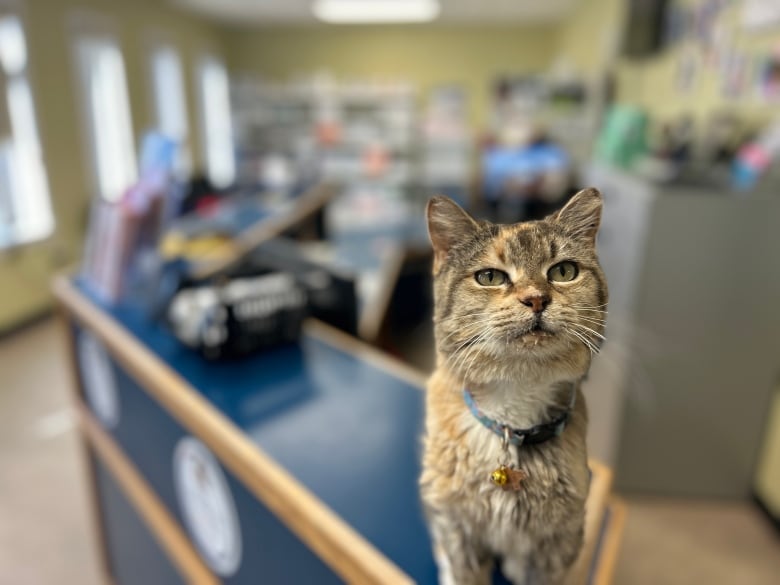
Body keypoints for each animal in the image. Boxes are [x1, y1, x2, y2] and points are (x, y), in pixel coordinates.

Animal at [420, 189, 608, 580]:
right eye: (490, 277)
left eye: (564, 271)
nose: (536, 298)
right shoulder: (457, 527)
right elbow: (461, 569)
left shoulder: (557, 541)